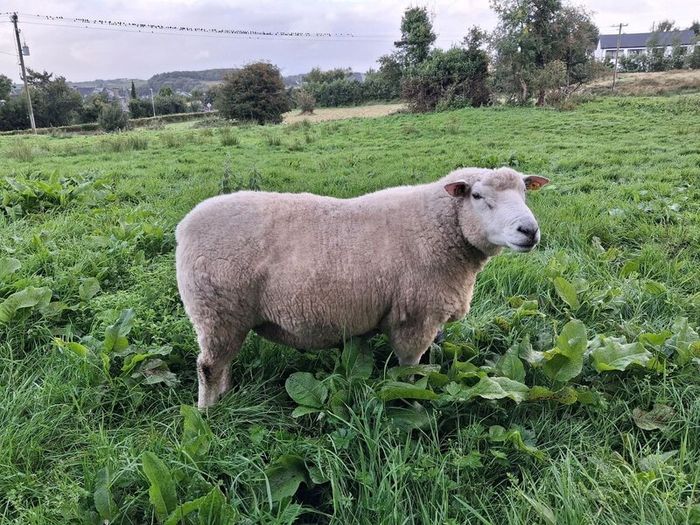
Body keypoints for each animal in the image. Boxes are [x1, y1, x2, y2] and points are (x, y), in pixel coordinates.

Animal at [175, 167, 550, 408]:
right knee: (209, 366)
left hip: (226, 318)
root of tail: (184, 228)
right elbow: (409, 369)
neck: (440, 229)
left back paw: (226, 398)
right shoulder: (416, 318)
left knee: (222, 364)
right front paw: (409, 401)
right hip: (217, 311)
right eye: (477, 195)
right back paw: (209, 413)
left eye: (524, 193)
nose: (529, 231)